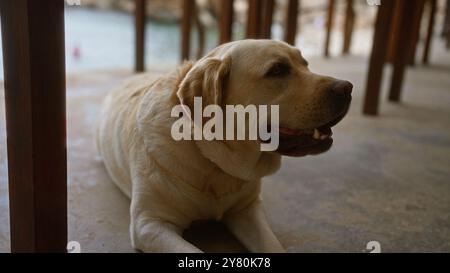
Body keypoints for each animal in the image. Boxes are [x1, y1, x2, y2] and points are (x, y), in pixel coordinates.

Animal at [96, 39, 354, 252]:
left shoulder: (248, 209)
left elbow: (272, 245)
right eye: (277, 70)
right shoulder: (149, 223)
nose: (347, 88)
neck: (214, 167)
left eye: (306, 64)